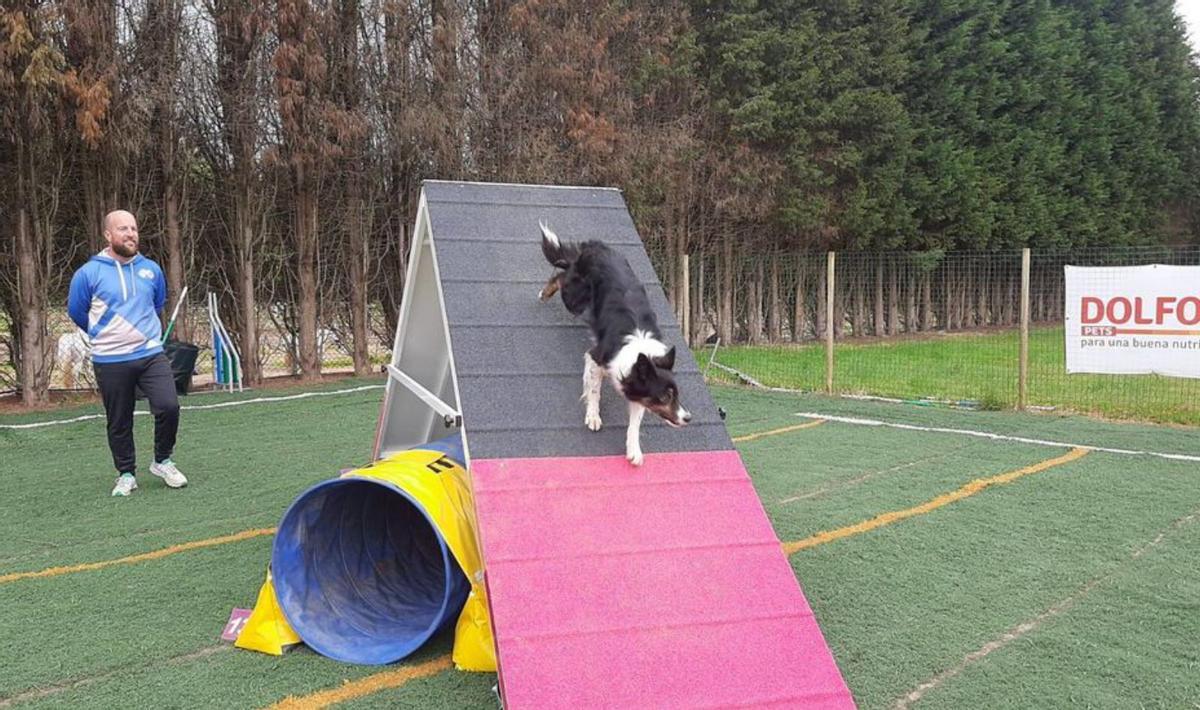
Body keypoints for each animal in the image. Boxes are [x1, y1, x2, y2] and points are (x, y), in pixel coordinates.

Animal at [537, 223, 691, 465]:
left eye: (677, 395)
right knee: (563, 274)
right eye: (666, 397)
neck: (640, 352)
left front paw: (634, 449)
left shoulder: (637, 389)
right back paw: (545, 292)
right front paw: (593, 416)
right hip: (575, 299)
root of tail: (596, 246)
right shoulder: (596, 357)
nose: (688, 418)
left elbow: (635, 422)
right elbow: (593, 390)